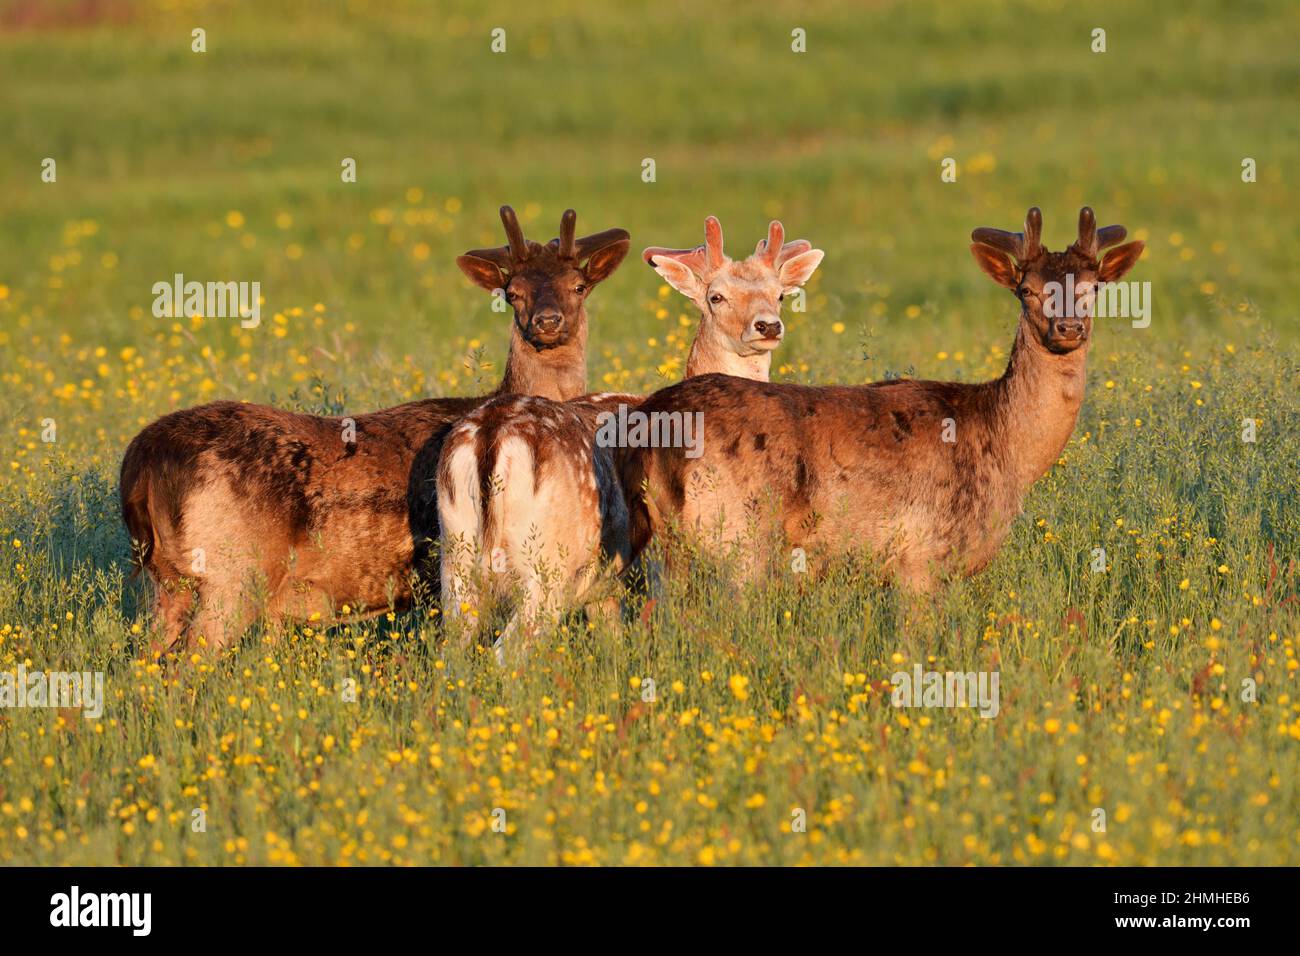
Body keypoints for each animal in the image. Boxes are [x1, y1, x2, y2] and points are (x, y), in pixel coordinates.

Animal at [120, 205, 629, 655]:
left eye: (578, 285)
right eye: (512, 291)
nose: (548, 321)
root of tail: (140, 463)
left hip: (167, 581)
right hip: (231, 571)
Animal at [436, 219, 821, 660]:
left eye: (780, 294)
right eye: (716, 296)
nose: (767, 325)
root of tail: (491, 435)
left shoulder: (604, 591)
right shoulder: (659, 564)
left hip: (455, 558)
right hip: (547, 567)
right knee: (507, 652)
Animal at [613, 208, 1144, 590]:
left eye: (1094, 288)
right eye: (1026, 290)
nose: (1068, 328)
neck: (1008, 451)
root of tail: (653, 425)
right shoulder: (921, 556)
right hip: (738, 535)